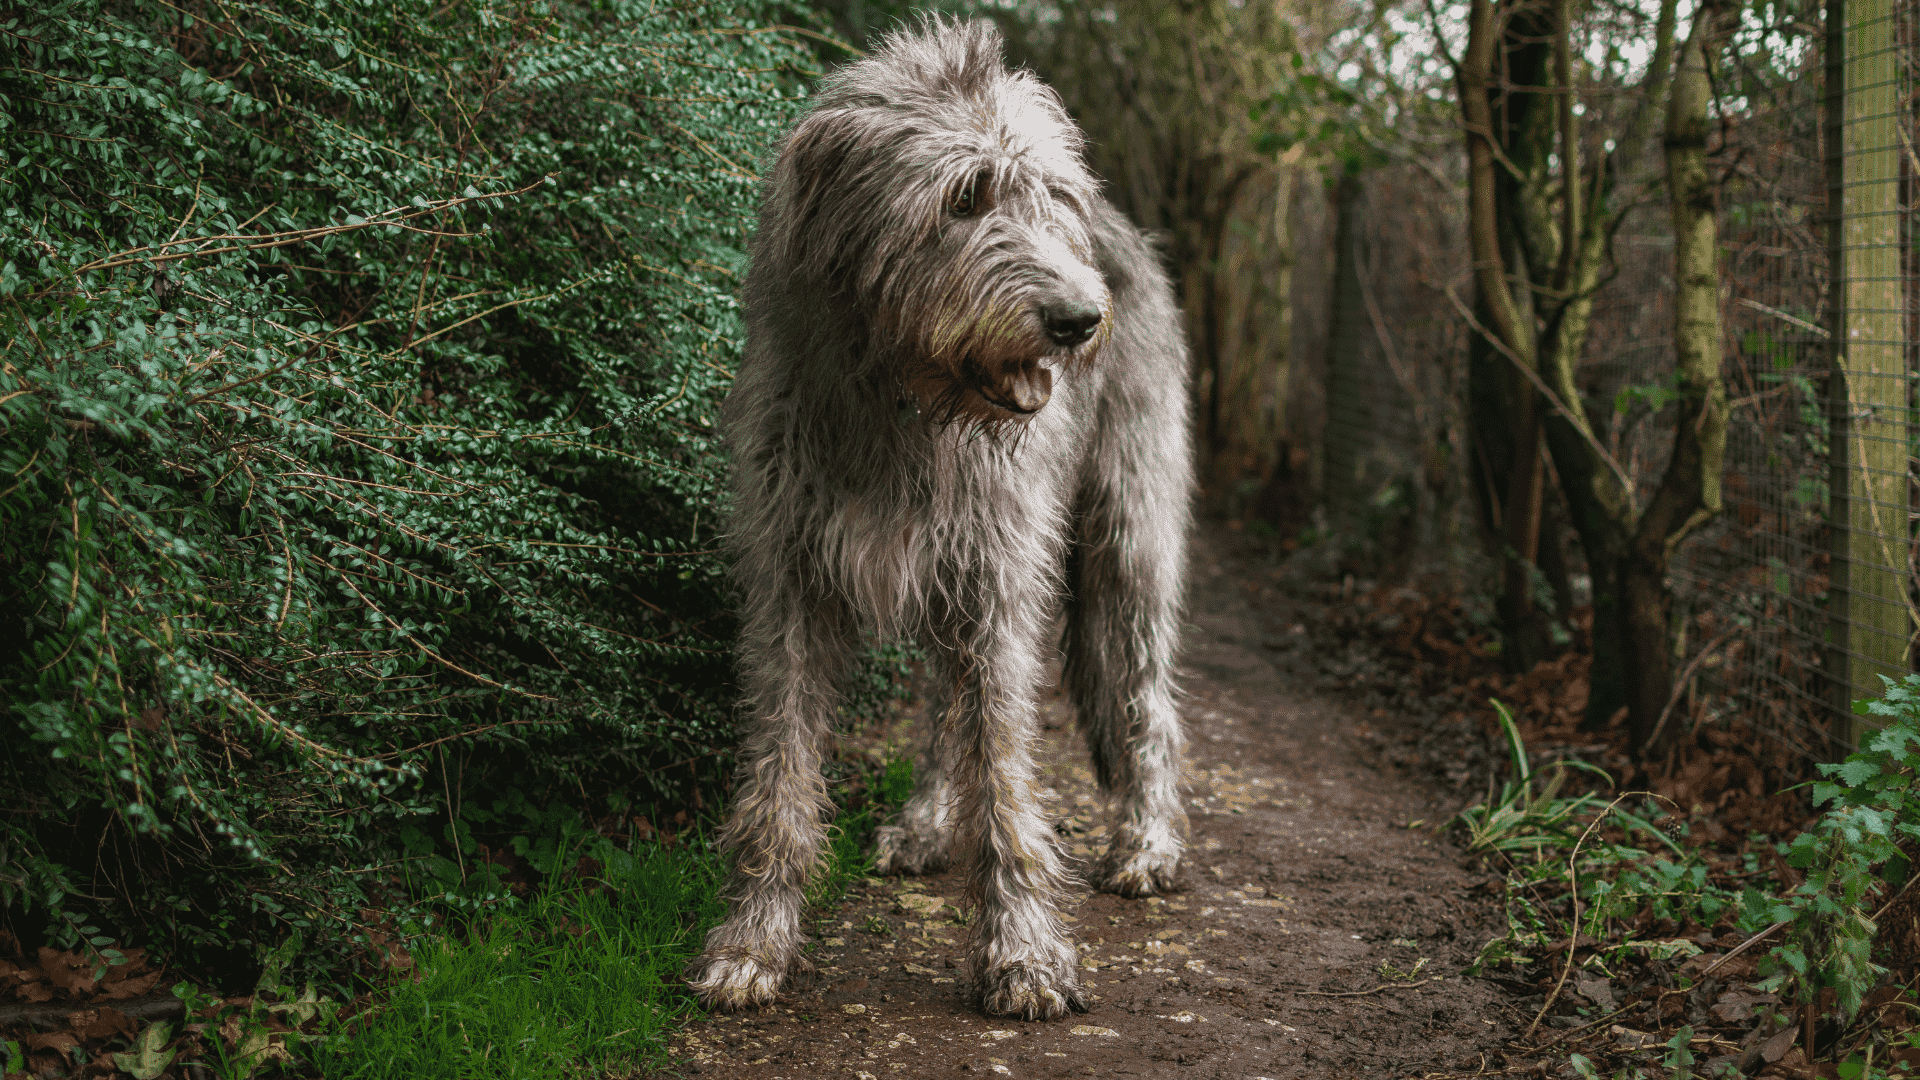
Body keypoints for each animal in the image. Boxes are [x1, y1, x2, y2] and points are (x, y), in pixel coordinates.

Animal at [695, 21, 1182, 1022]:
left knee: (1146, 694)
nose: (1079, 320)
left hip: (1130, 532)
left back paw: (1148, 843)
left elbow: (1004, 769)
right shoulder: (789, 582)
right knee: (938, 696)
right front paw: (754, 939)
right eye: (963, 199)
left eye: (1051, 199)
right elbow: (781, 771)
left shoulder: (998, 573)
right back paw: (927, 820)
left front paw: (1024, 952)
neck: (903, 406)